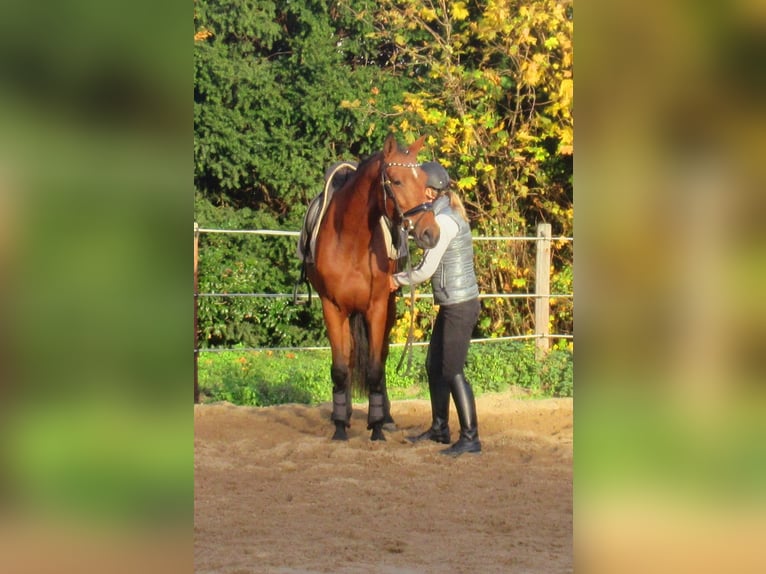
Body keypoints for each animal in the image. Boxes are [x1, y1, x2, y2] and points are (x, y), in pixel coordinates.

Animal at [305, 134, 440, 441]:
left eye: (423, 181)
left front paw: (377, 426)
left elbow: (376, 369)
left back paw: (385, 417)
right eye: (397, 181)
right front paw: (340, 427)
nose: (431, 233)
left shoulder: (376, 308)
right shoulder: (332, 308)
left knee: (380, 358)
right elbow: (340, 369)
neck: (349, 240)